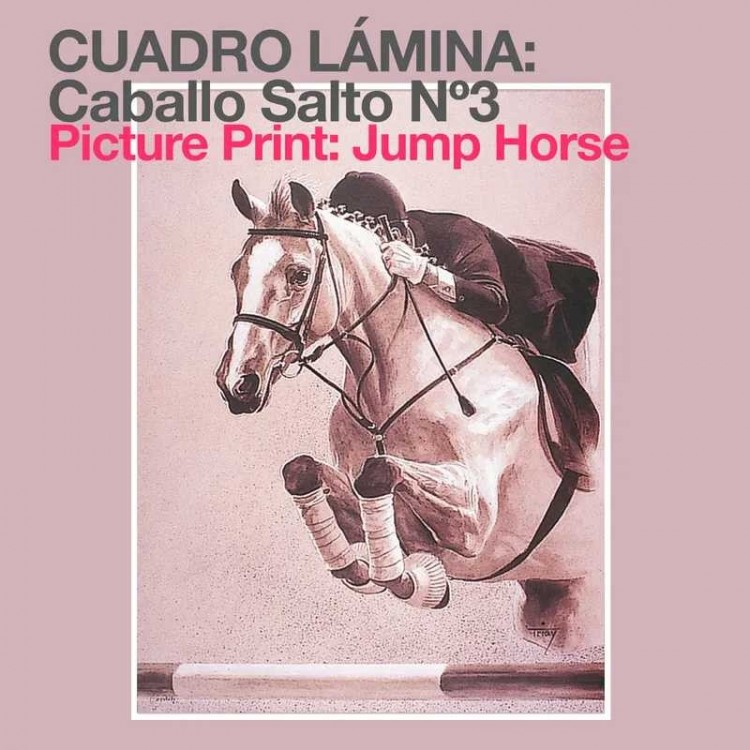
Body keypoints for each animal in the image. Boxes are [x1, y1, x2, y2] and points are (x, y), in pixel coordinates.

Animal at [216, 179, 604, 650]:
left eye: (299, 274)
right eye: (236, 271)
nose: (237, 384)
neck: (391, 376)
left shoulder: (476, 522)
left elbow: (381, 471)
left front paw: (408, 579)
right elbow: (304, 470)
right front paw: (362, 569)